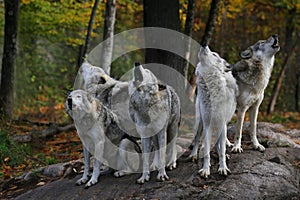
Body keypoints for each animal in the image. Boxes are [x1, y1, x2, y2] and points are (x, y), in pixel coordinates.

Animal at [191, 45, 238, 178]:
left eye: (214, 54)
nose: (204, 45)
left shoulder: (222, 123)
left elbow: (221, 149)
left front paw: (223, 168)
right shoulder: (207, 124)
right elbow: (206, 150)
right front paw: (205, 169)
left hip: (224, 122)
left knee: (220, 142)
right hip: (200, 121)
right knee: (197, 138)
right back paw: (193, 155)